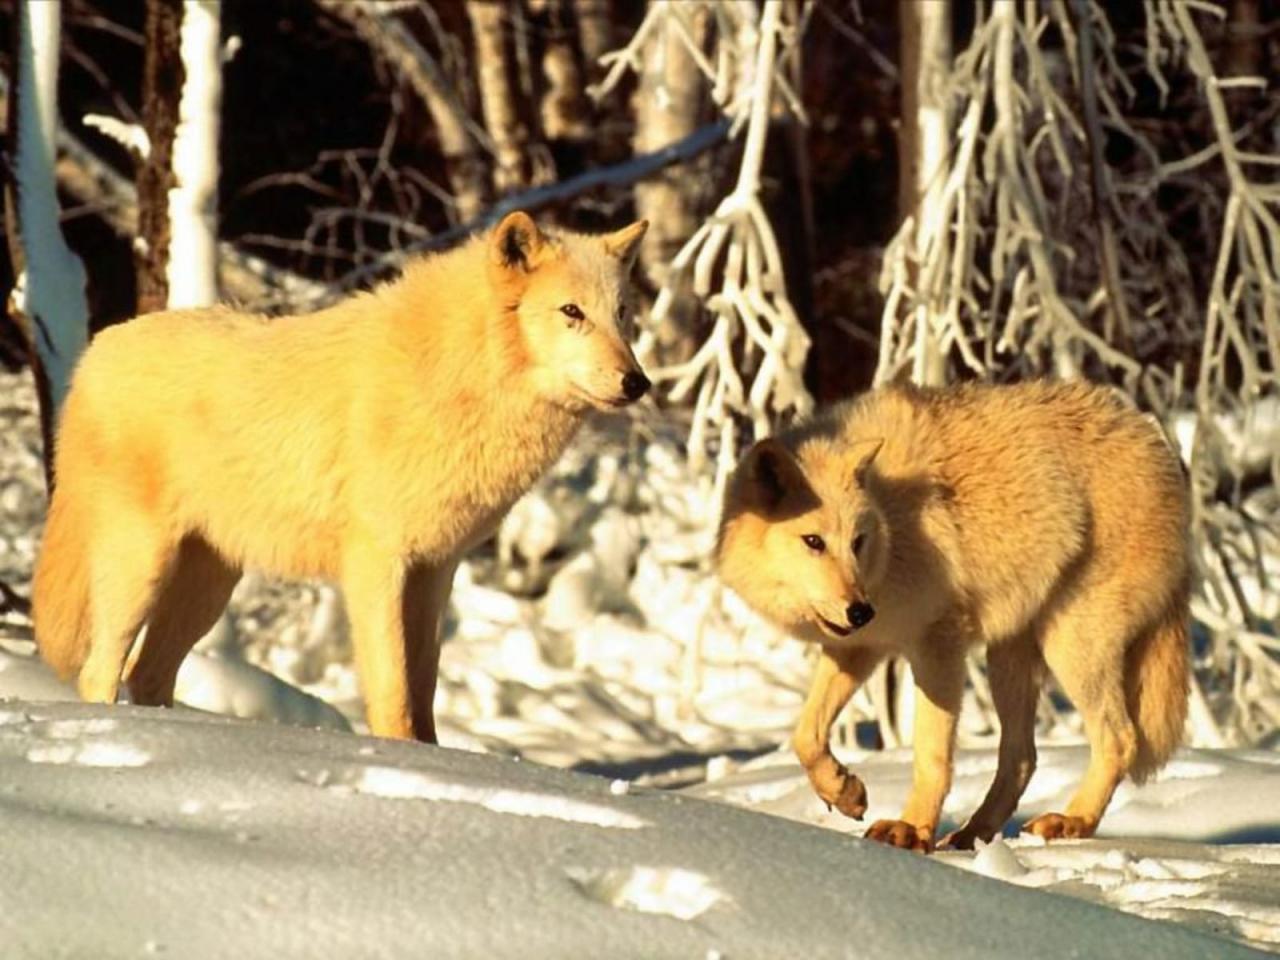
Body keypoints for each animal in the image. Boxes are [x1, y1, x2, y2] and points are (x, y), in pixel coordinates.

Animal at [32, 209, 650, 742]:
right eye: (572, 312)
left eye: (622, 314)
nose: (638, 382)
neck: (457, 376)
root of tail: (95, 352)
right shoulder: (377, 564)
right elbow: (394, 693)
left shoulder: (435, 570)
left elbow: (424, 690)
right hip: (141, 569)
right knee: (100, 671)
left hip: (208, 588)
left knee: (147, 673)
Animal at [721, 378, 1187, 855]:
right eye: (813, 541)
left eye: (857, 541)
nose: (860, 610)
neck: (892, 524)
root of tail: (1151, 438)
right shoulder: (861, 646)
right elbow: (805, 735)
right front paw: (845, 791)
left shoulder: (937, 642)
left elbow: (931, 754)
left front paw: (911, 831)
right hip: (1009, 660)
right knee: (1023, 757)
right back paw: (971, 835)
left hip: (1072, 647)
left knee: (1120, 739)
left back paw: (1070, 821)